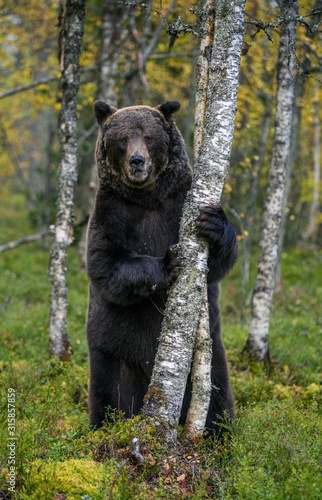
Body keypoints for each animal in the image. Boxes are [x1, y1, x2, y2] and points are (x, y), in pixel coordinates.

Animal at [87, 100, 238, 434]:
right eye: (122, 139)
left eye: (149, 137)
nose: (137, 160)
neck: (148, 197)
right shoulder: (111, 212)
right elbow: (107, 264)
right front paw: (169, 262)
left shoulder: (179, 200)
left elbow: (218, 265)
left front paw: (213, 223)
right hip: (112, 350)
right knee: (111, 395)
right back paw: (103, 427)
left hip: (208, 359)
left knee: (217, 399)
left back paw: (220, 436)